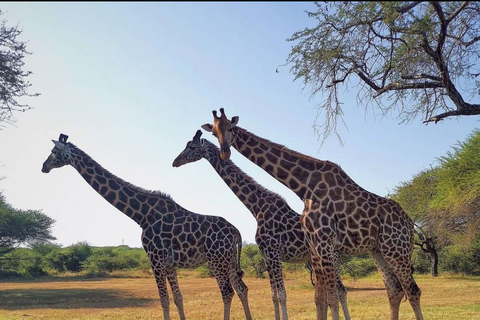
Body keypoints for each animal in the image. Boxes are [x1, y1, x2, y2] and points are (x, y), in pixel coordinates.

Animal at [40, 132, 255, 320]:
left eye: (53, 151)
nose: (43, 166)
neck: (141, 214)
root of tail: (236, 233)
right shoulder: (169, 264)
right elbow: (178, 298)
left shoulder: (155, 259)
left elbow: (164, 300)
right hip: (228, 260)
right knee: (241, 288)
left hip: (216, 259)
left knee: (227, 292)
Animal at [171, 130, 350, 320]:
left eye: (191, 146)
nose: (175, 162)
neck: (256, 208)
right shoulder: (266, 255)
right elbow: (274, 295)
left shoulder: (274, 252)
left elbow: (282, 294)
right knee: (332, 293)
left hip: (331, 259)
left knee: (341, 291)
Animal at [202, 108, 424, 320]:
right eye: (214, 132)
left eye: (231, 128)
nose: (224, 152)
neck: (304, 187)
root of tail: (410, 223)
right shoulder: (314, 244)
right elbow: (320, 298)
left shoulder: (322, 242)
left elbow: (331, 298)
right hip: (378, 250)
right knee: (394, 291)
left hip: (397, 249)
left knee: (413, 291)